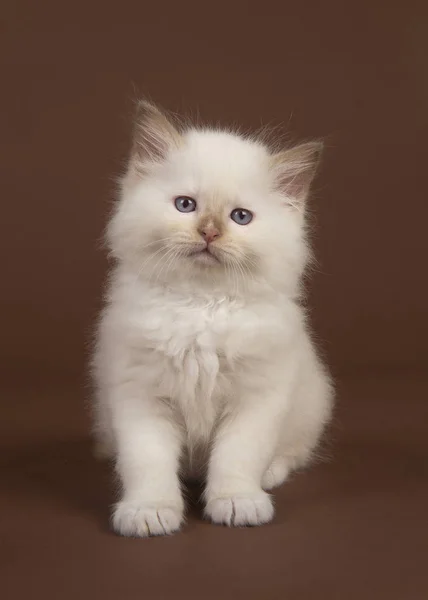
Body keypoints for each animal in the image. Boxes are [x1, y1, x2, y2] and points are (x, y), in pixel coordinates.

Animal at [93, 101, 334, 536]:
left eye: (240, 217)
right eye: (185, 205)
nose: (209, 233)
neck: (200, 306)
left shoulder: (257, 397)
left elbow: (237, 458)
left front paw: (238, 502)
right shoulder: (140, 394)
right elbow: (147, 462)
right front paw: (148, 511)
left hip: (313, 402)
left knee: (292, 453)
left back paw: (270, 475)